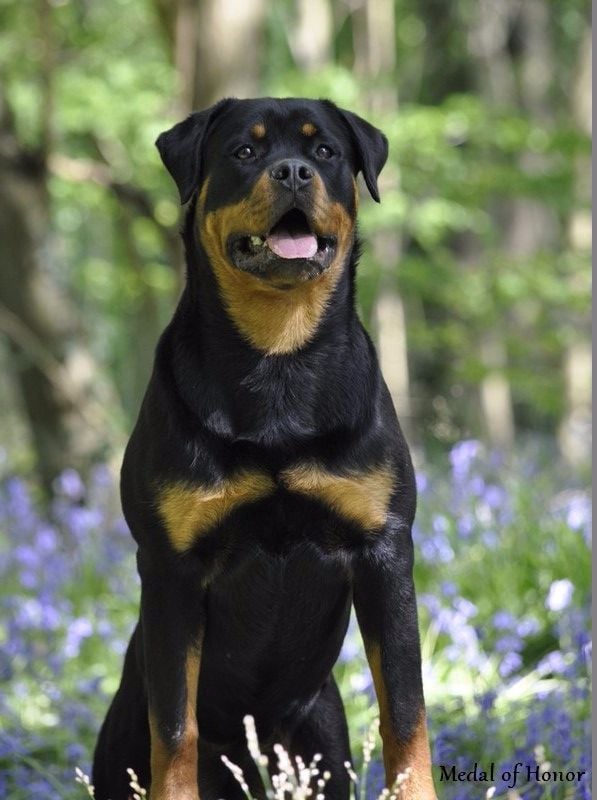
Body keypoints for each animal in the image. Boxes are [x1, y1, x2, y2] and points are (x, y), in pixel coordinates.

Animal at [92, 97, 437, 800]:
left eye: (325, 151)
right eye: (244, 152)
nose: (293, 171)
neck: (278, 356)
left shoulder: (385, 550)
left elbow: (405, 712)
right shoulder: (171, 567)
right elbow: (175, 727)